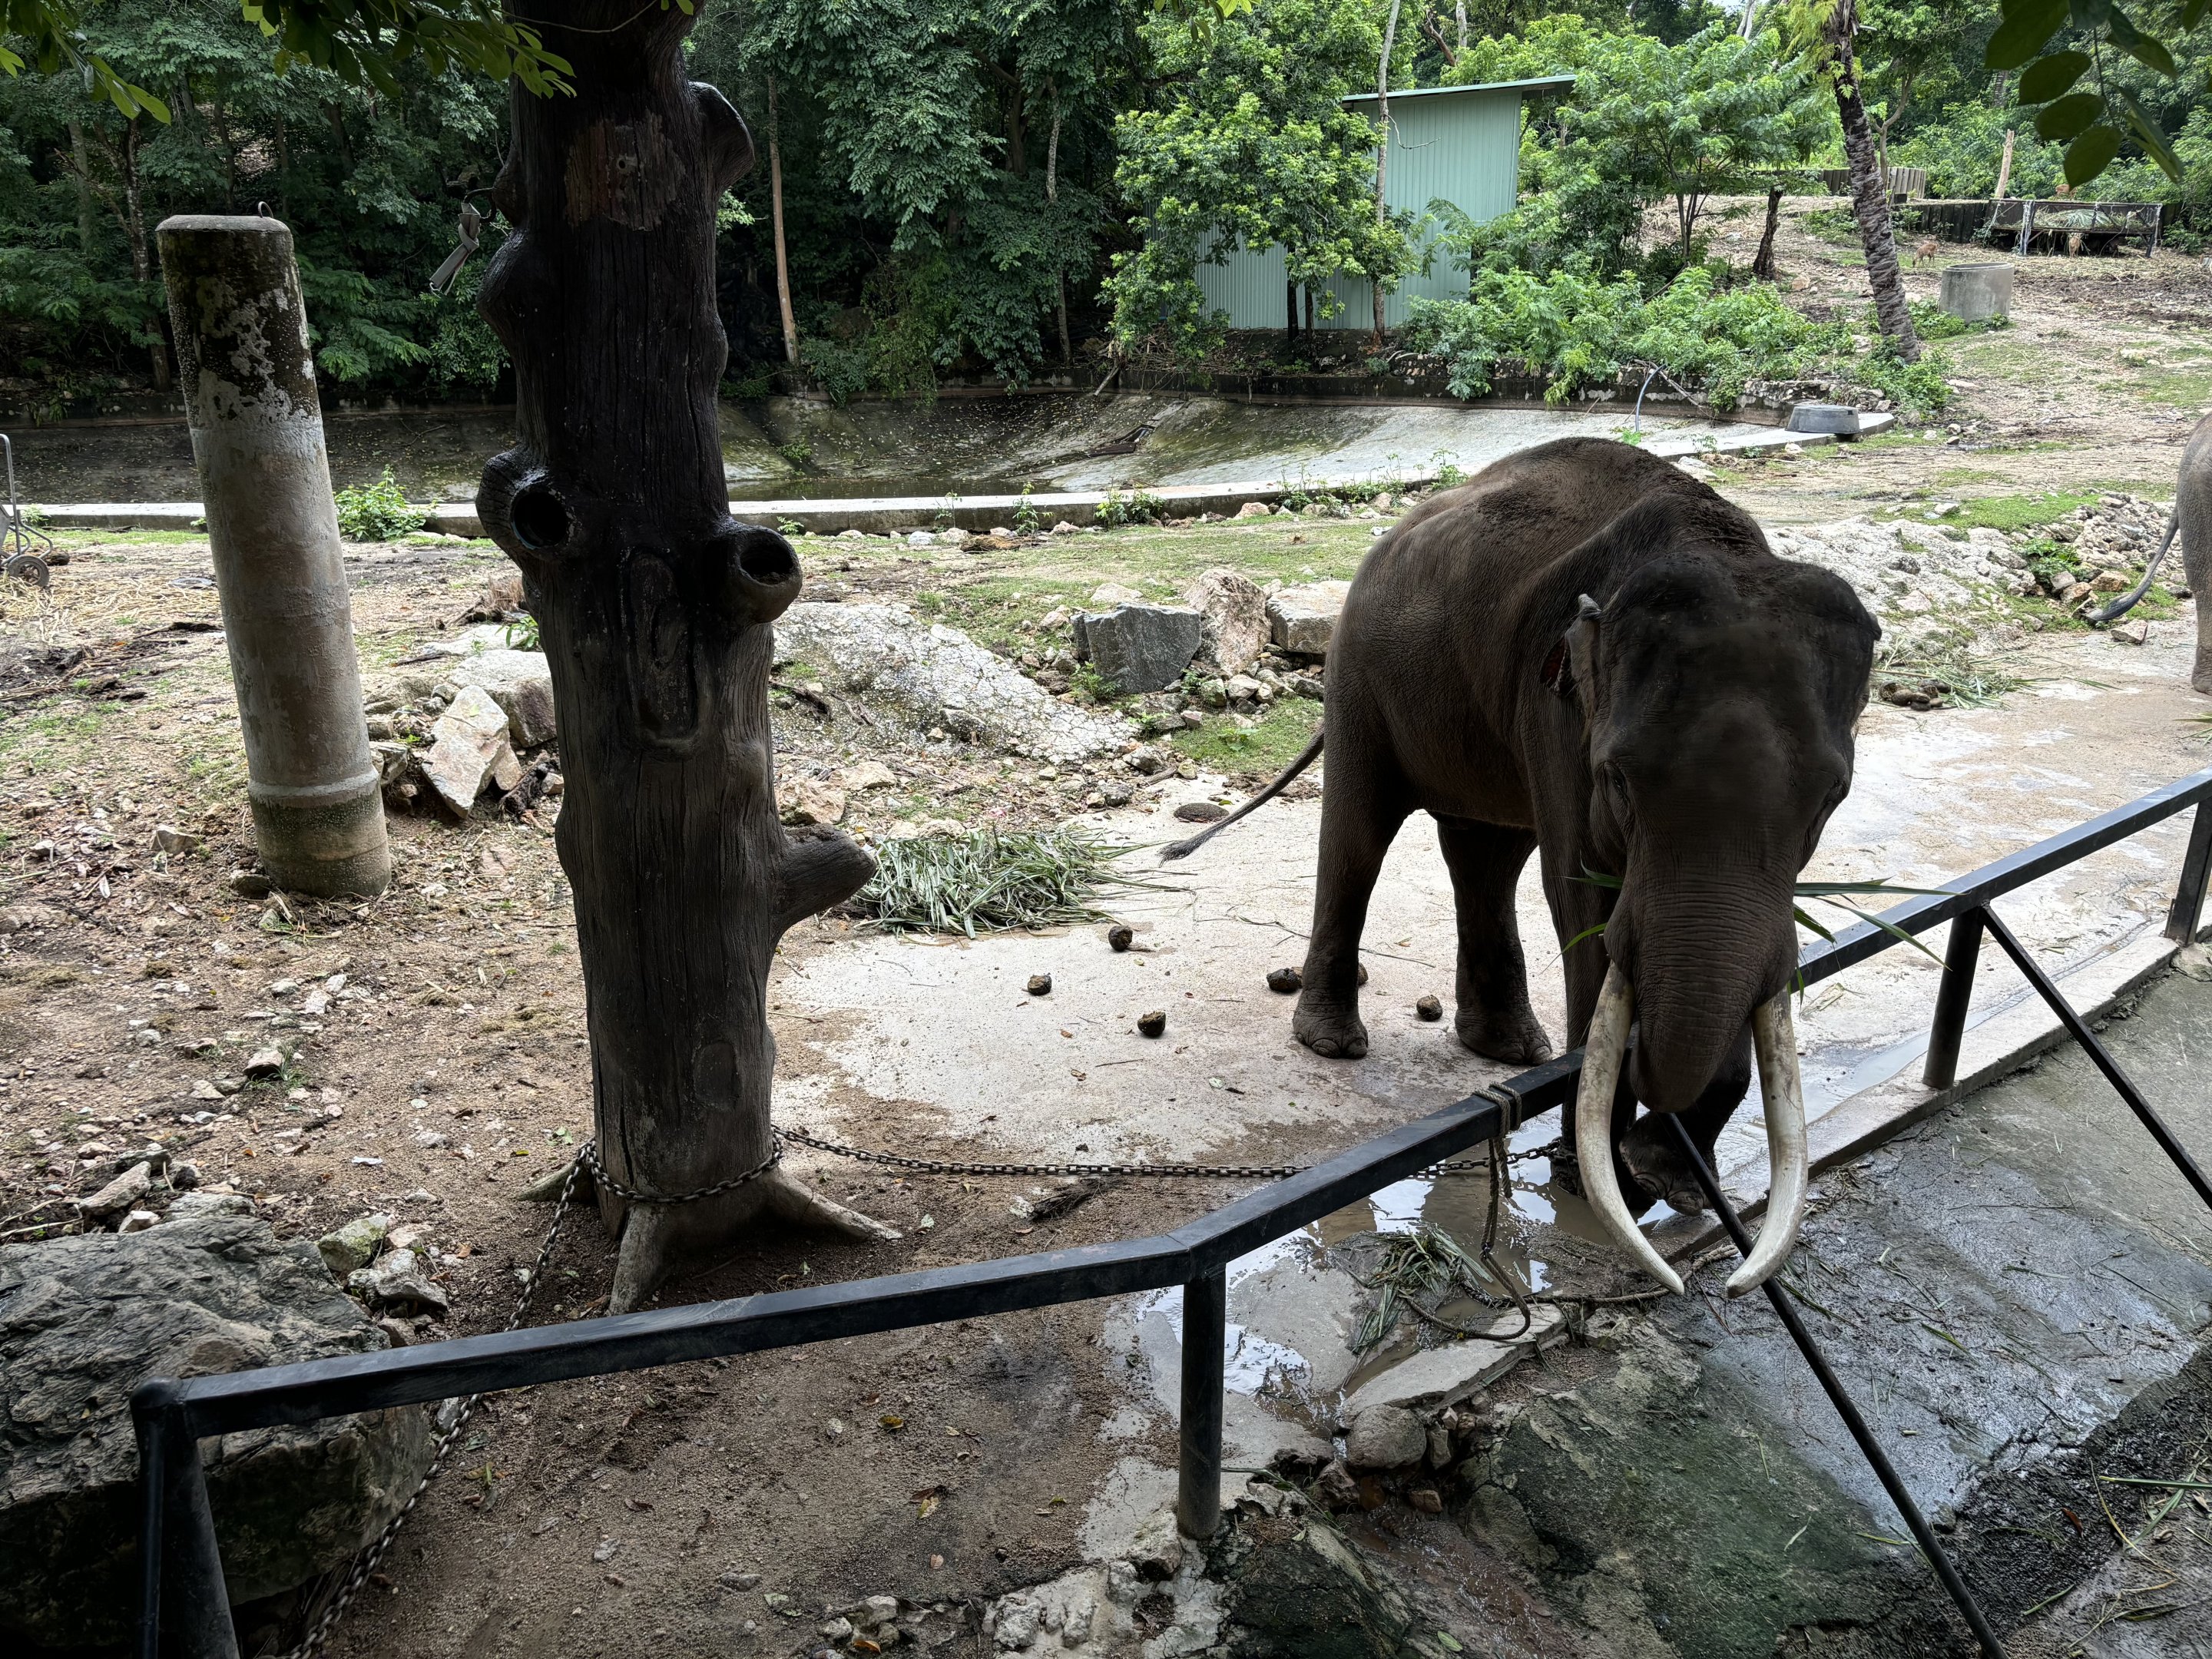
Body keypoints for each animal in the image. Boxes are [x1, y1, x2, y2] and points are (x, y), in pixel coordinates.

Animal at [1167, 437, 1879, 1294]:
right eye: (1617, 778)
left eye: (1833, 794)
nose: (1649, 1153)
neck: (1721, 545)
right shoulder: (1560, 716)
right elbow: (1582, 902)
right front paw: (1602, 1179)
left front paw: (1668, 1179)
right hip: (1359, 675)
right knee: (1360, 834)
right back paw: (1336, 1045)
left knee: (1488, 853)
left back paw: (1512, 1052)